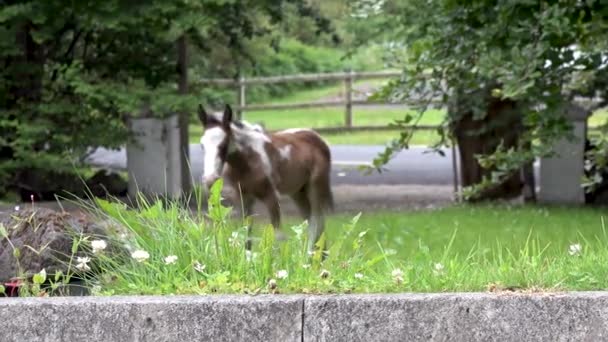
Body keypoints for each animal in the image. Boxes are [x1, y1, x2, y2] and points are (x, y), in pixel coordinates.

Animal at [198, 103, 332, 250]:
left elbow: (277, 235)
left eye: (223, 144)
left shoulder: (271, 197)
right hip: (298, 193)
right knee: (312, 222)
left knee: (316, 221)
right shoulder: (243, 198)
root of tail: (318, 138)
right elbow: (247, 235)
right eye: (202, 145)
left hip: (315, 188)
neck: (246, 163)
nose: (210, 179)